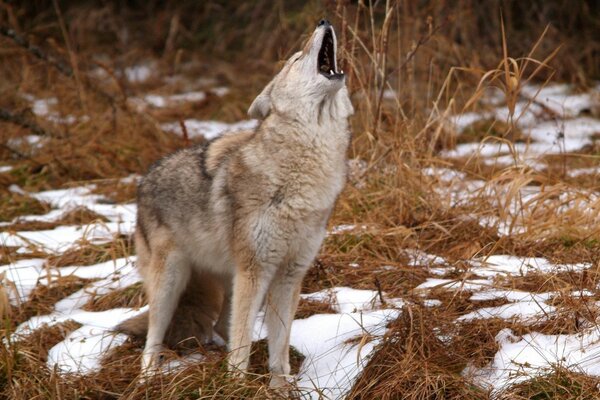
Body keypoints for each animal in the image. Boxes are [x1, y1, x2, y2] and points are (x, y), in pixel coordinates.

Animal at [120, 19, 354, 388]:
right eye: (296, 57)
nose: (323, 21)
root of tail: (144, 179)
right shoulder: (255, 271)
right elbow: (242, 343)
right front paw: (236, 385)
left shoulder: (289, 275)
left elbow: (279, 347)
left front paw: (280, 388)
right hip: (171, 282)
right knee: (154, 338)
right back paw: (148, 378)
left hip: (227, 281)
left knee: (219, 326)